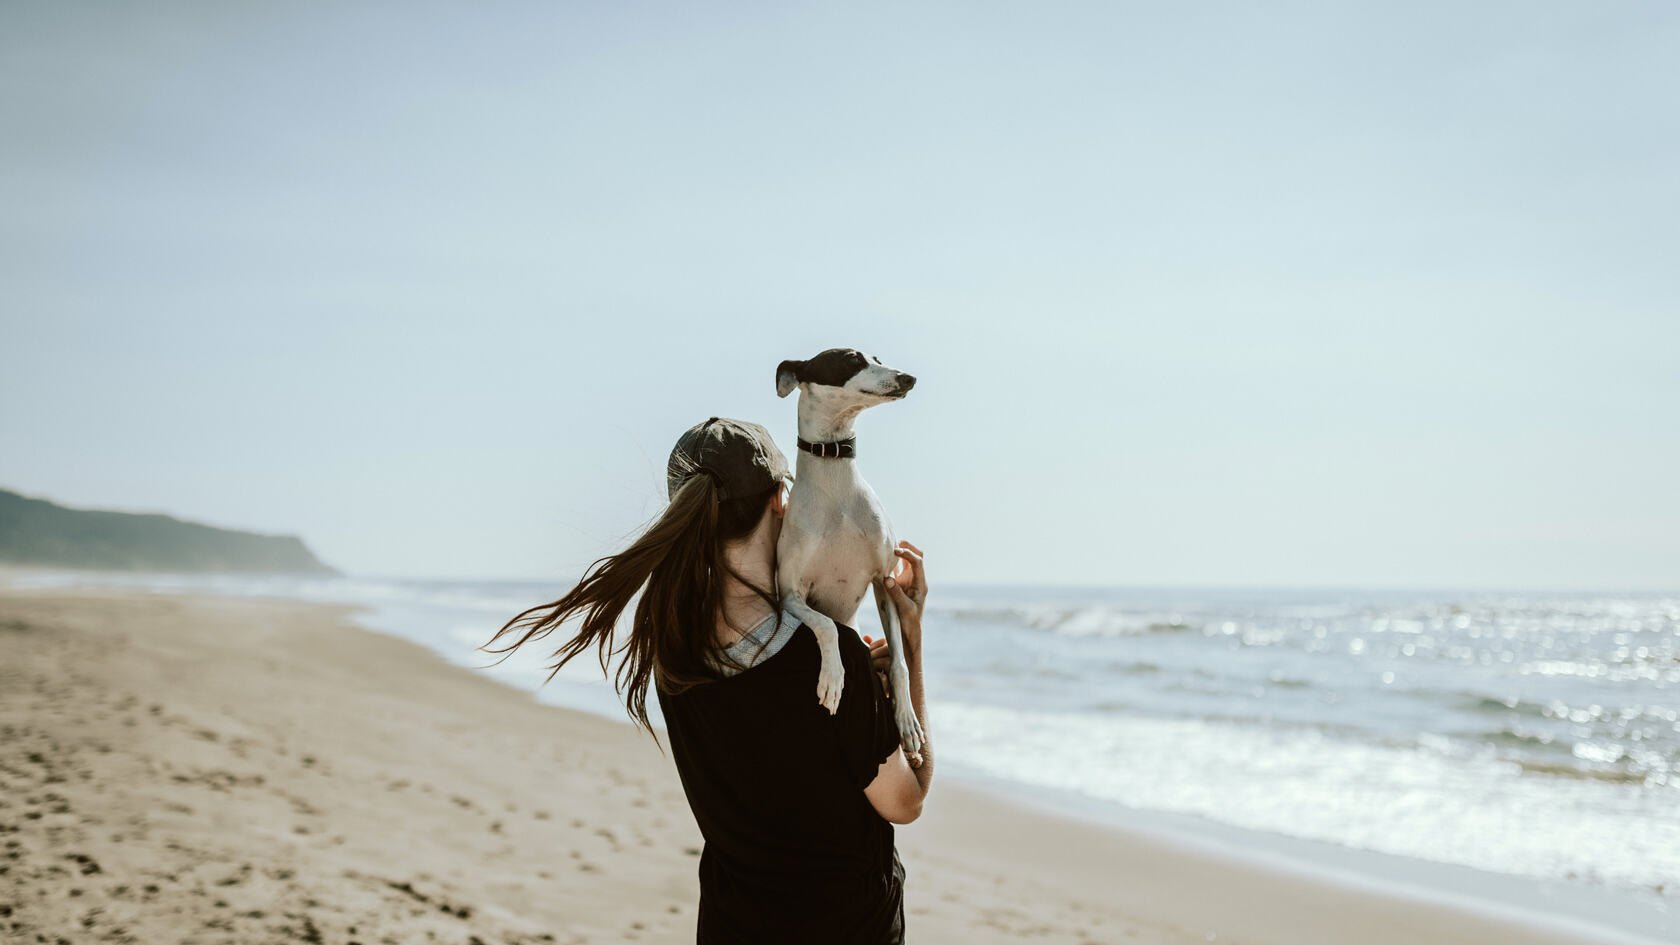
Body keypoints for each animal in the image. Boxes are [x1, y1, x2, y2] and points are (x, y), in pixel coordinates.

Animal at [769, 346, 927, 766]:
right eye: (852, 359)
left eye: (878, 358)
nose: (908, 378)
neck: (836, 487)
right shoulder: (790, 595)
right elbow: (825, 624)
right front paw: (833, 678)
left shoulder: (884, 582)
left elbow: (901, 663)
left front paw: (907, 722)